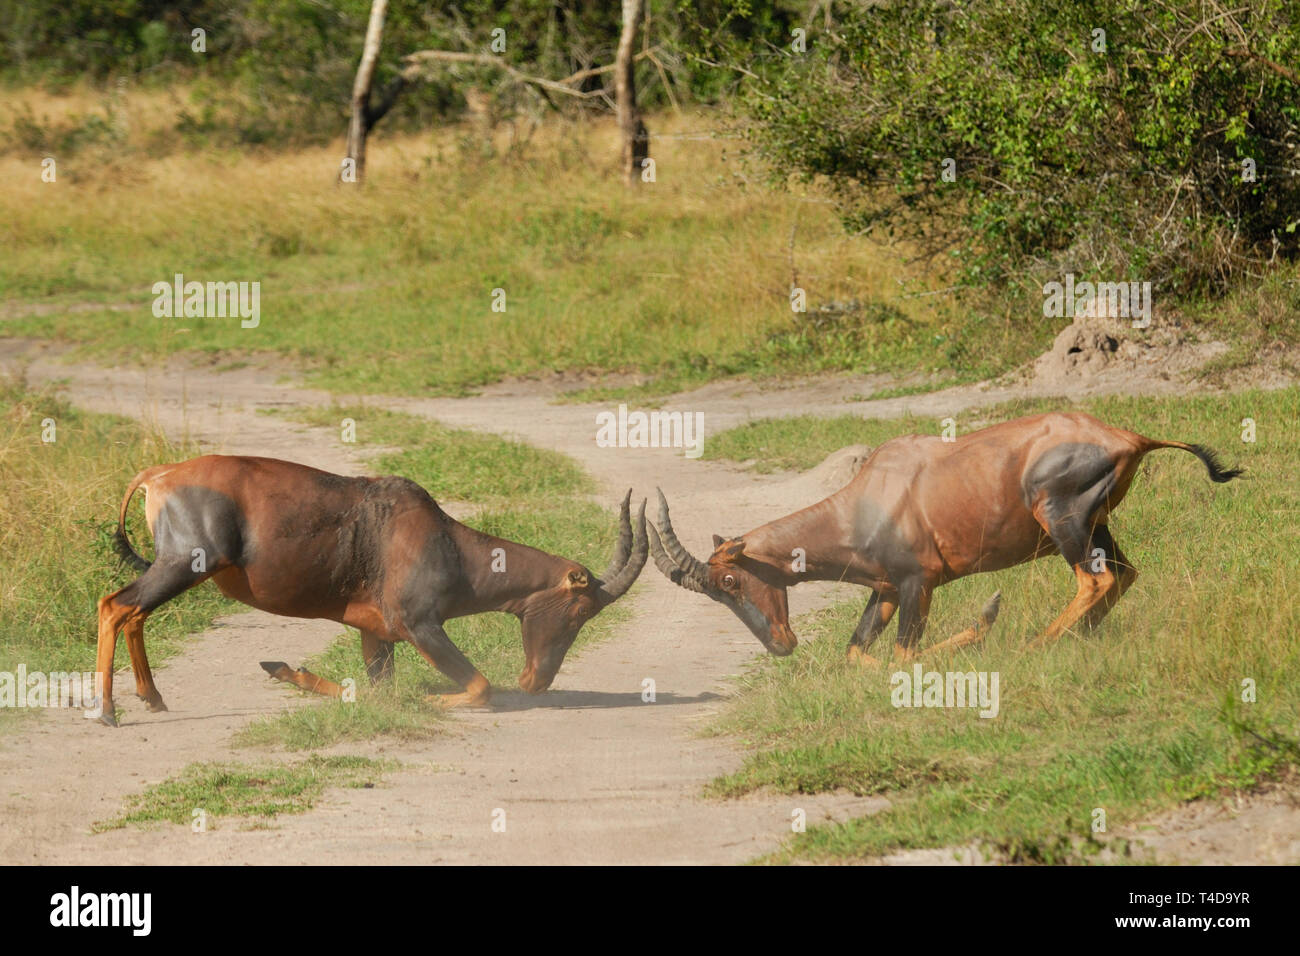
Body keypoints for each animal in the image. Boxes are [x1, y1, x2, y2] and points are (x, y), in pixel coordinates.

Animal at [94, 455, 647, 723]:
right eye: (580, 610)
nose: (536, 681)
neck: (438, 534)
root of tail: (161, 474)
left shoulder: (375, 633)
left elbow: (378, 690)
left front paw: (285, 671)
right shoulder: (420, 627)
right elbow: (479, 688)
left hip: (175, 568)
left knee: (133, 612)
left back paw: (152, 699)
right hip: (183, 565)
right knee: (115, 606)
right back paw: (109, 713)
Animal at [650, 411, 1237, 665]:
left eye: (729, 580)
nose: (780, 646)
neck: (869, 495)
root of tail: (1130, 436)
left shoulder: (919, 583)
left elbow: (904, 655)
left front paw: (986, 620)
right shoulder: (886, 590)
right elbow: (858, 653)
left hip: (1064, 523)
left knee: (1095, 582)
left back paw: (1034, 645)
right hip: (1097, 527)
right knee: (1123, 576)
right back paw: (1076, 641)